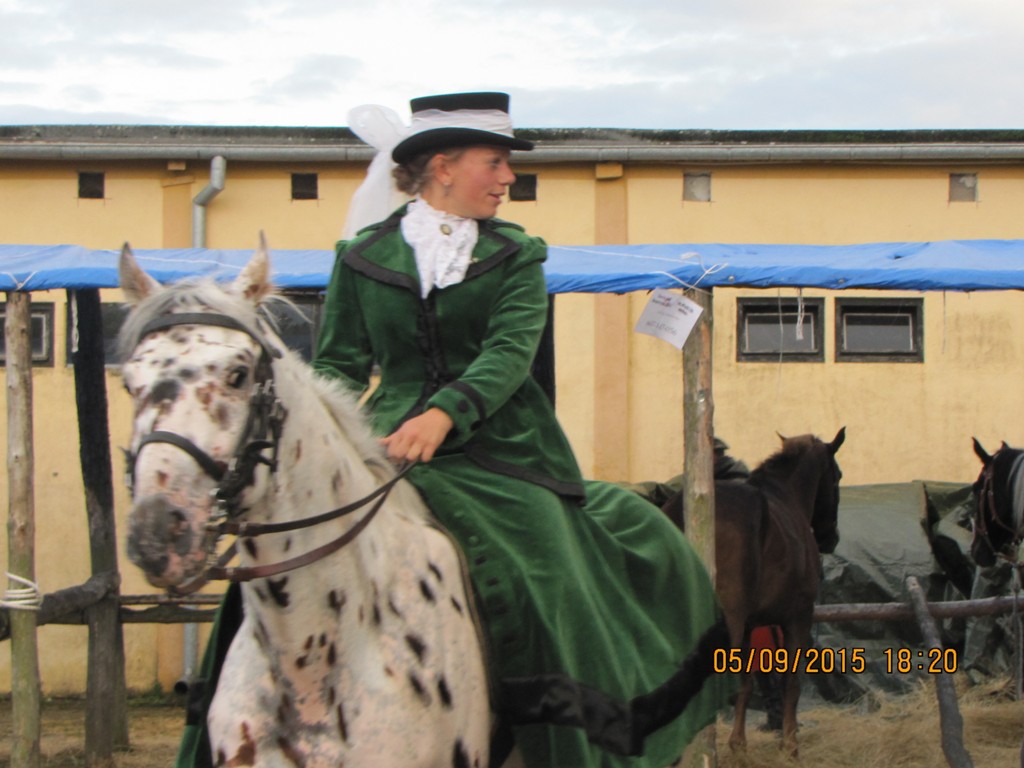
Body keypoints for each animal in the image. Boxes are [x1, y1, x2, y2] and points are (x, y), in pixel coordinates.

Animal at [662, 428, 845, 758]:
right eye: (837, 477)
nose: (831, 538)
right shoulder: (798, 618)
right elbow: (791, 681)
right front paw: (790, 744)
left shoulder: (749, 626)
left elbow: (745, 685)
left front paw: (739, 744)